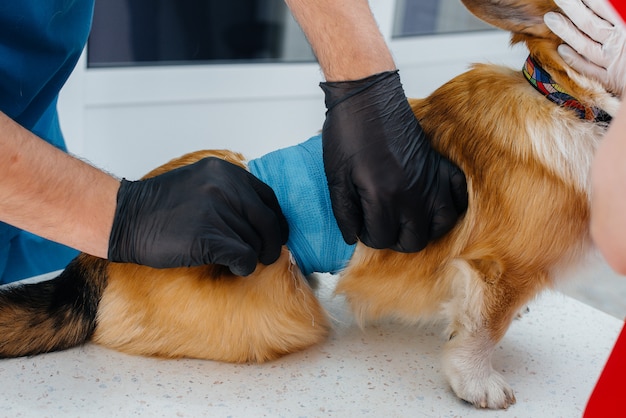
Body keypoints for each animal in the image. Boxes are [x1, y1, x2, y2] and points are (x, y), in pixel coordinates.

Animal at [0, 0, 616, 410]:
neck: (566, 103)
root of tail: (96, 257)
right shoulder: (496, 271)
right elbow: (482, 332)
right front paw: (478, 381)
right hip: (283, 298)